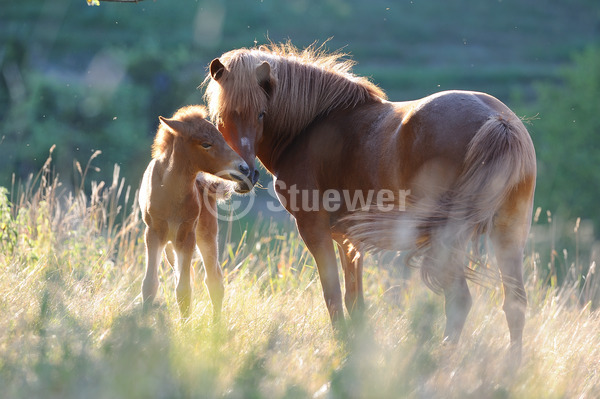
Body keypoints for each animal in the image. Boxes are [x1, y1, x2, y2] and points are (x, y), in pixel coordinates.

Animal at [204, 42, 536, 360]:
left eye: (261, 113)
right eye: (221, 117)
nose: (245, 174)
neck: (310, 127)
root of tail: (498, 119)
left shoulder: (314, 228)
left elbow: (332, 295)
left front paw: (341, 346)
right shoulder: (347, 239)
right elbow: (354, 299)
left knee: (459, 300)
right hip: (509, 233)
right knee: (515, 304)